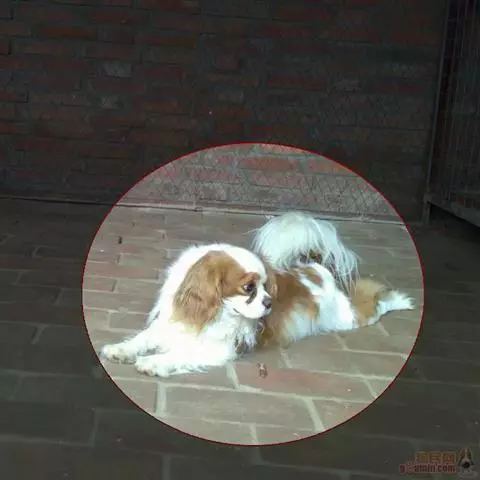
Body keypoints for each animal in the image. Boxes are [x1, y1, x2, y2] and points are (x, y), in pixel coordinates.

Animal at [100, 212, 414, 377]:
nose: (269, 303)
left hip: (345, 318)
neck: (211, 314)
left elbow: (178, 353)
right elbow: (141, 339)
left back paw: (402, 300)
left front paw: (154, 362)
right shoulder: (170, 325)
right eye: (249, 288)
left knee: (375, 302)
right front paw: (121, 350)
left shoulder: (219, 348)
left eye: (266, 287)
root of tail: (317, 267)